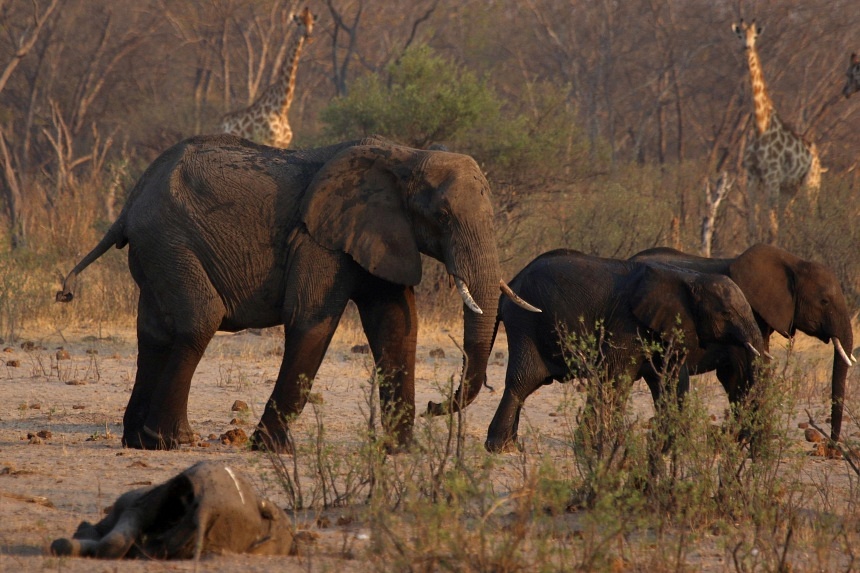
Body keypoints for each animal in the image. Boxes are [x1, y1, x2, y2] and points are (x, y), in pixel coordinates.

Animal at [57, 134, 534, 452]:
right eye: (443, 216)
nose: (437, 406)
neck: (406, 156)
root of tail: (128, 205)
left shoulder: (378, 234)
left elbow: (397, 326)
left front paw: (400, 452)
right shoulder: (318, 239)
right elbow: (312, 322)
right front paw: (270, 450)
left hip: (156, 250)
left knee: (154, 332)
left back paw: (137, 441)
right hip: (169, 241)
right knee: (198, 321)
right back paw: (173, 441)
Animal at [485, 249, 766, 453]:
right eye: (726, 313)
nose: (736, 440)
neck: (688, 278)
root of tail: (510, 283)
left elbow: (671, 381)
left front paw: (671, 448)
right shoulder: (627, 323)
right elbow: (615, 378)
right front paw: (596, 447)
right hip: (525, 321)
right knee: (524, 380)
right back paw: (501, 449)